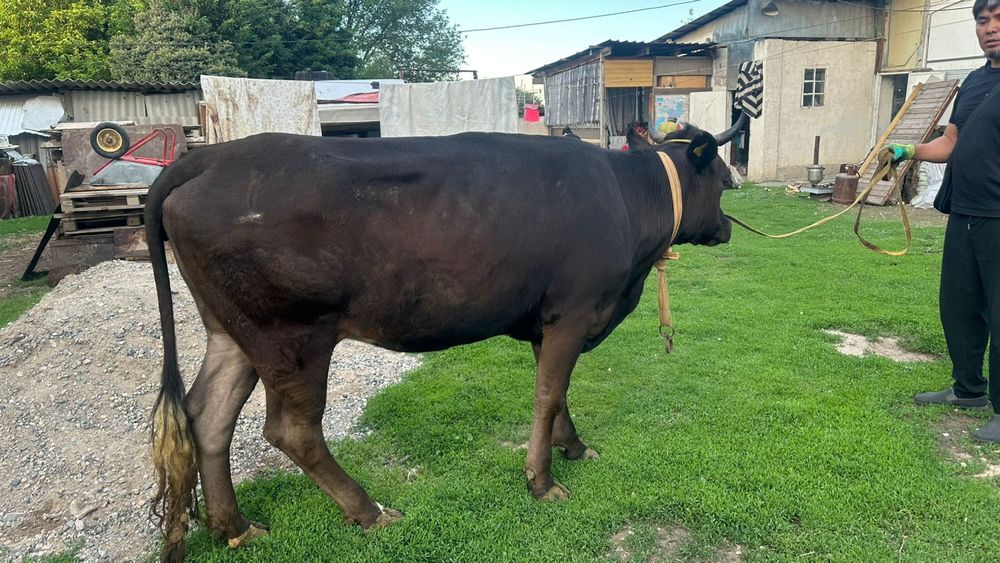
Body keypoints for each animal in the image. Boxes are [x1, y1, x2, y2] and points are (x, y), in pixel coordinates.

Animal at [145, 122, 738, 561]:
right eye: (724, 180)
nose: (730, 227)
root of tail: (210, 157)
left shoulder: (548, 321)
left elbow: (559, 394)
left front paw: (573, 448)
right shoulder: (573, 313)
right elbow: (547, 397)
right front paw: (542, 481)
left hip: (234, 331)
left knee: (208, 416)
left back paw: (235, 527)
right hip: (291, 336)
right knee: (291, 430)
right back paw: (369, 512)